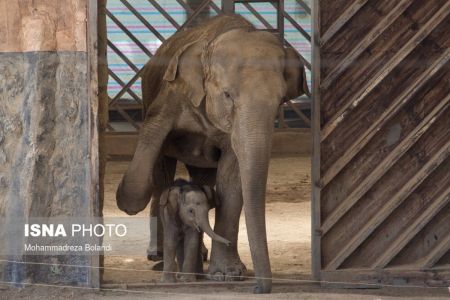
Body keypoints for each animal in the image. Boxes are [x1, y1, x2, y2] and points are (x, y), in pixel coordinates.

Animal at [115, 14, 310, 292]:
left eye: (280, 100)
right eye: (227, 95)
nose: (258, 288)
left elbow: (231, 181)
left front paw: (228, 274)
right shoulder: (172, 95)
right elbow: (152, 141)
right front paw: (125, 197)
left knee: (201, 180)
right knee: (164, 173)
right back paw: (158, 256)